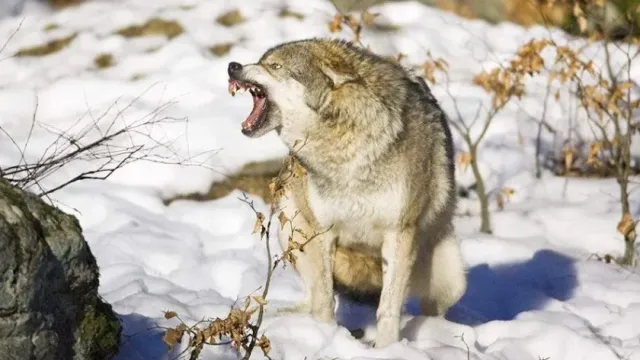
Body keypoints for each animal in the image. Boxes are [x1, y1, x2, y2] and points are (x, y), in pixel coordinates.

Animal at [228, 38, 468, 348]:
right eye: (261, 61)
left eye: (275, 66)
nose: (232, 66)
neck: (344, 147)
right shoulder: (323, 231)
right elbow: (324, 300)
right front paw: (324, 336)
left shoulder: (399, 233)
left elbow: (387, 309)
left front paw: (387, 349)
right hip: (290, 227)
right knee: (312, 296)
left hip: (451, 280)